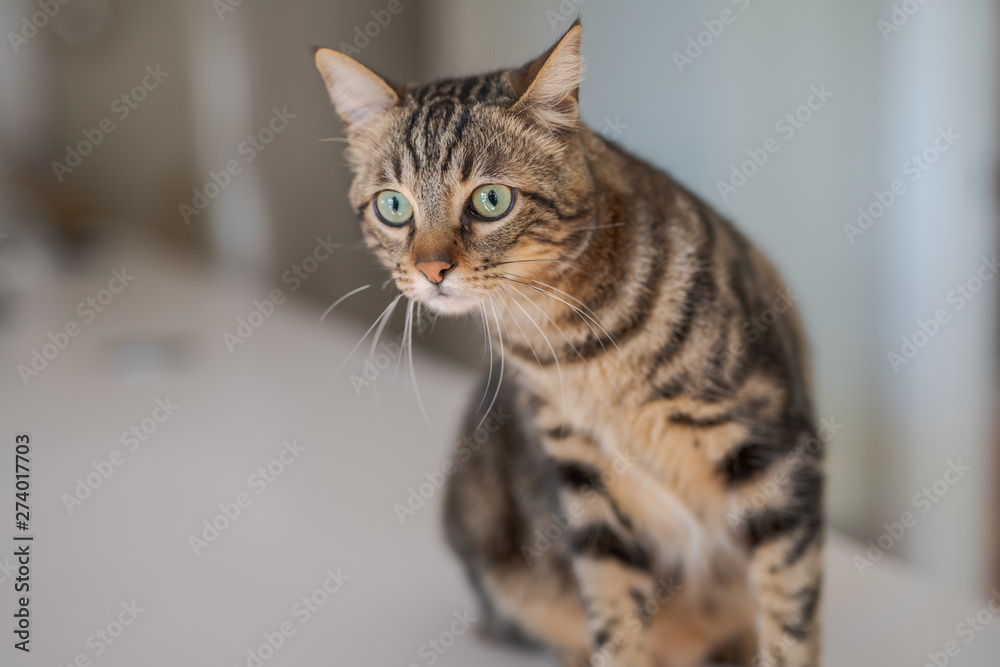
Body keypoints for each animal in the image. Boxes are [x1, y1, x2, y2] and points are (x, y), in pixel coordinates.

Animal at [316, 20, 824, 667]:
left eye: (490, 200)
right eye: (393, 205)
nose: (432, 270)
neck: (576, 346)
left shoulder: (774, 448)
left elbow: (790, 609)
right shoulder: (583, 478)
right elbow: (612, 607)